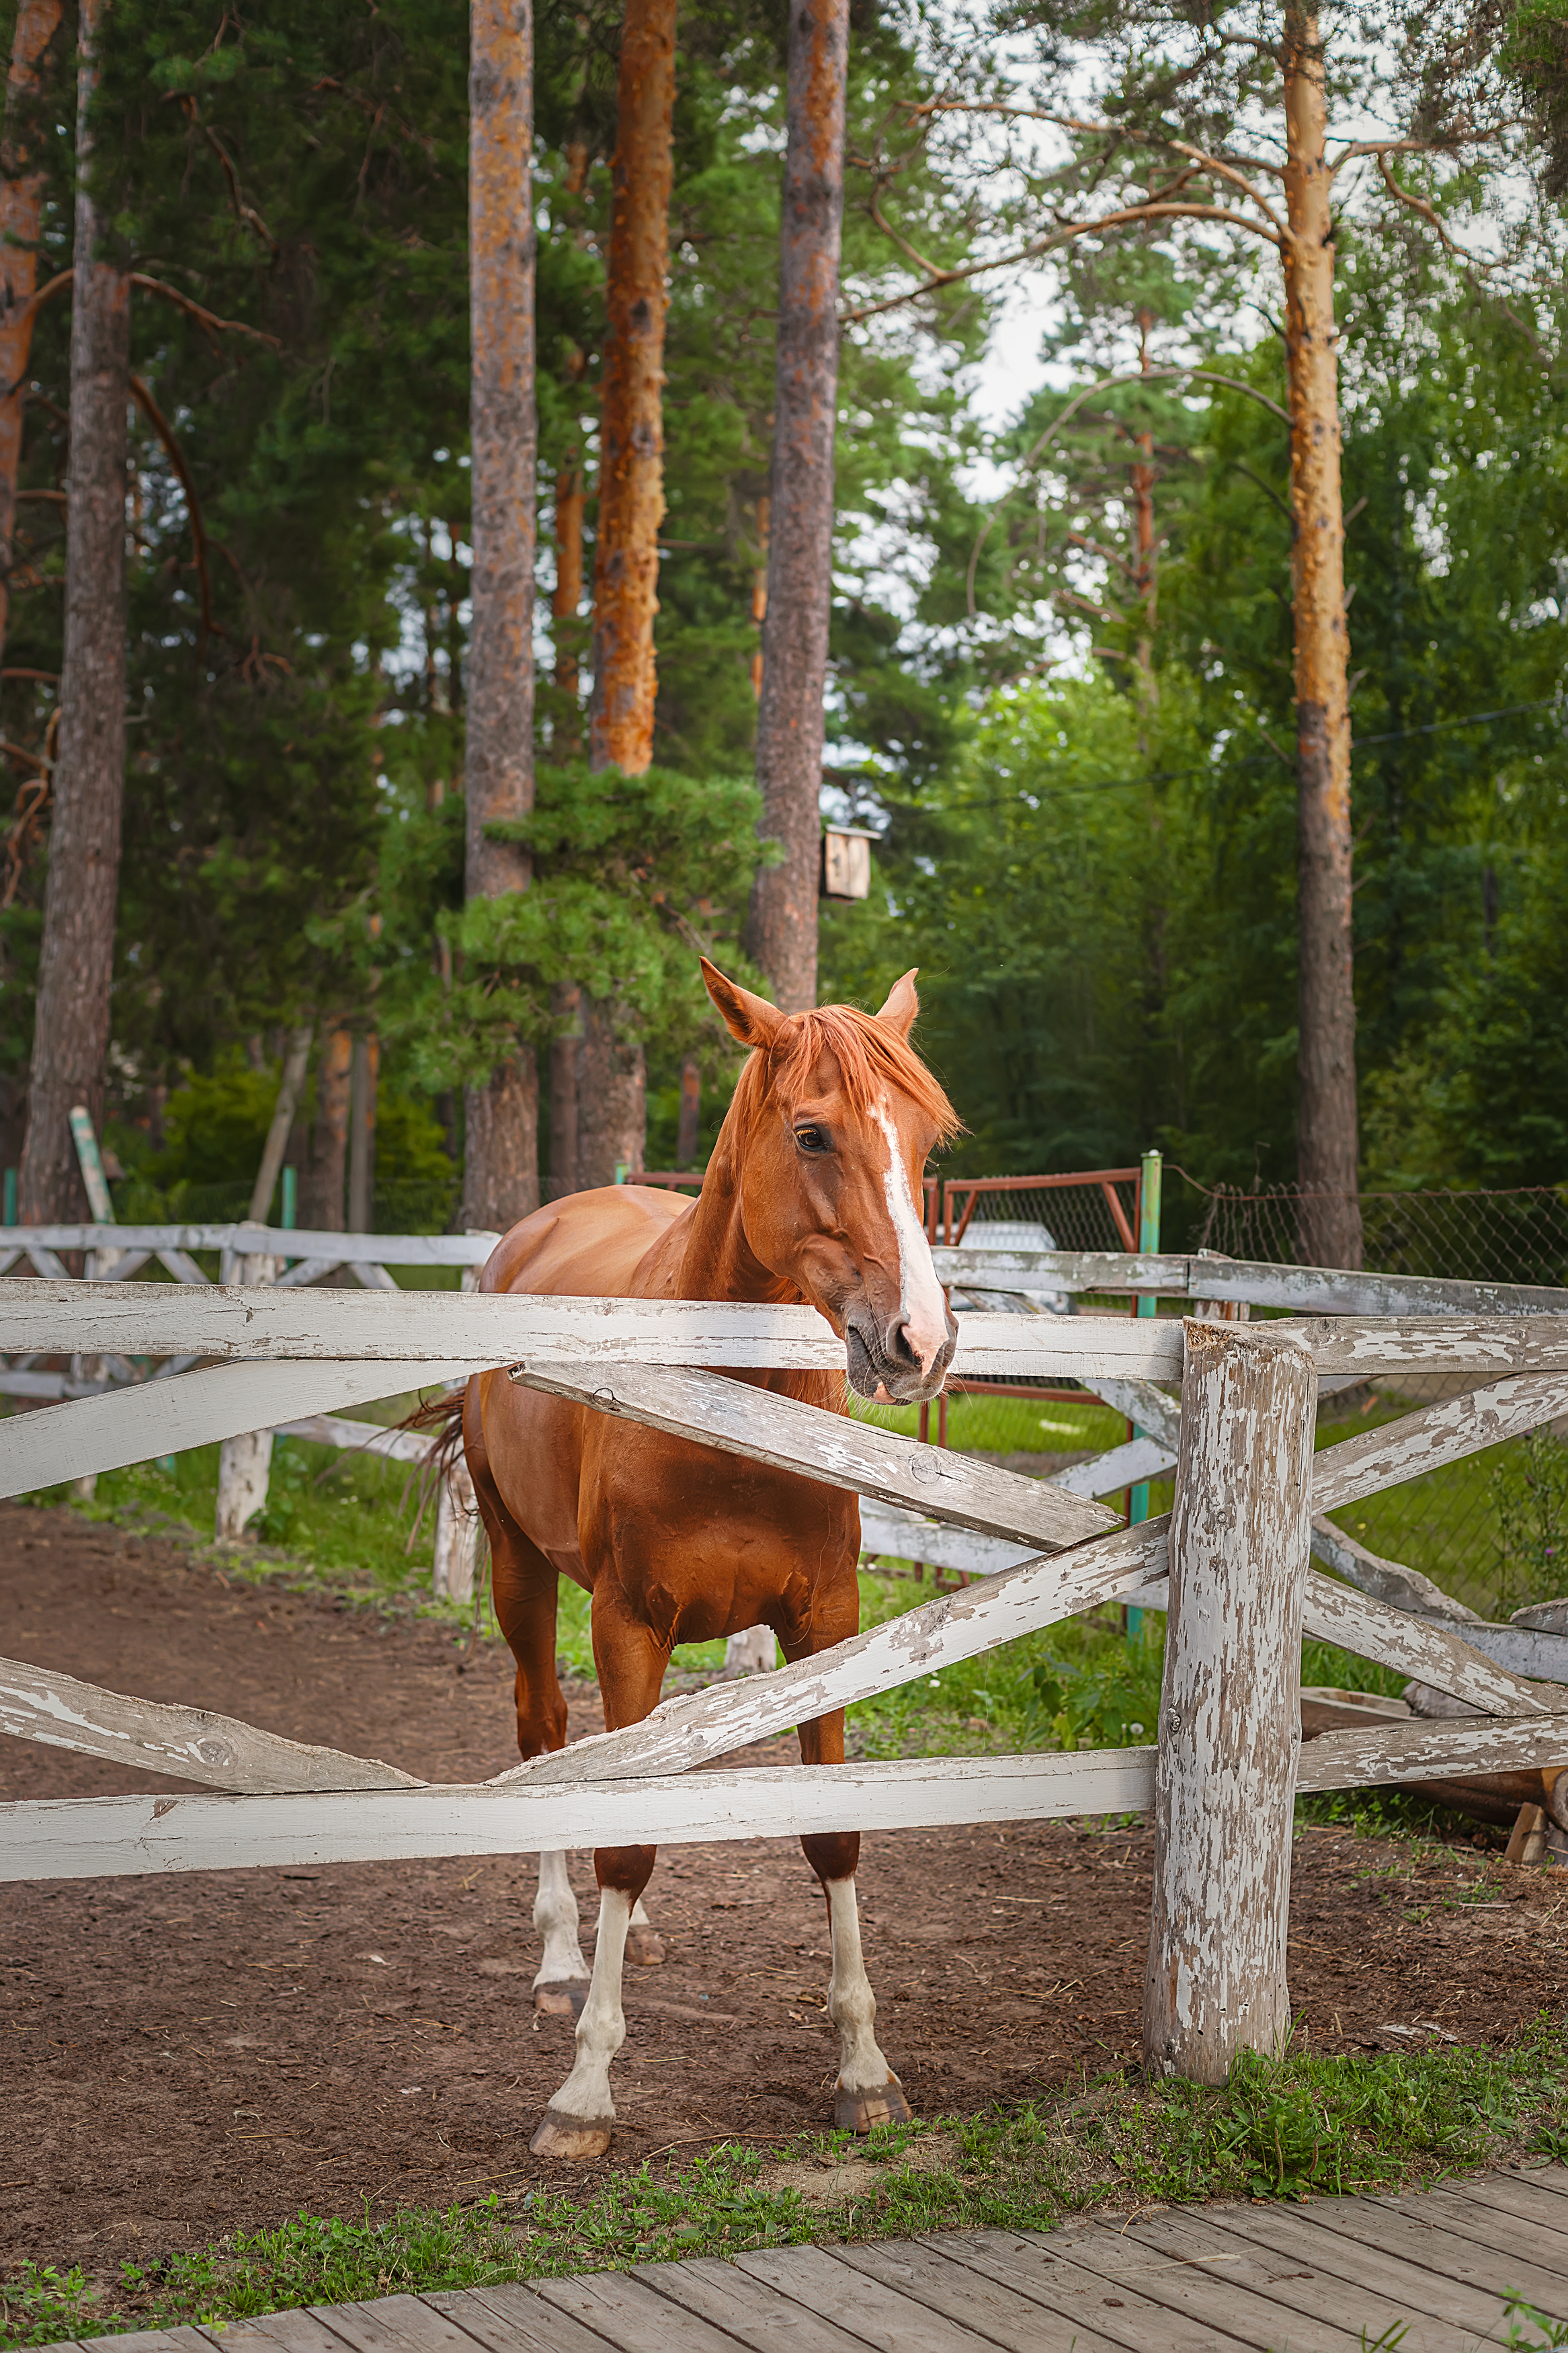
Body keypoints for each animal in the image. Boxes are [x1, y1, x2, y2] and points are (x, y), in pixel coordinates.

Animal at [460, 955, 964, 2155]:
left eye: (929, 1141)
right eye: (814, 1134)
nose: (919, 1343)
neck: (728, 1405)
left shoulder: (823, 1623)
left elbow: (832, 1838)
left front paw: (865, 2070)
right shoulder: (627, 1624)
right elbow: (622, 1840)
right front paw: (584, 2090)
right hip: (519, 1568)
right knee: (546, 1733)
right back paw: (561, 1962)